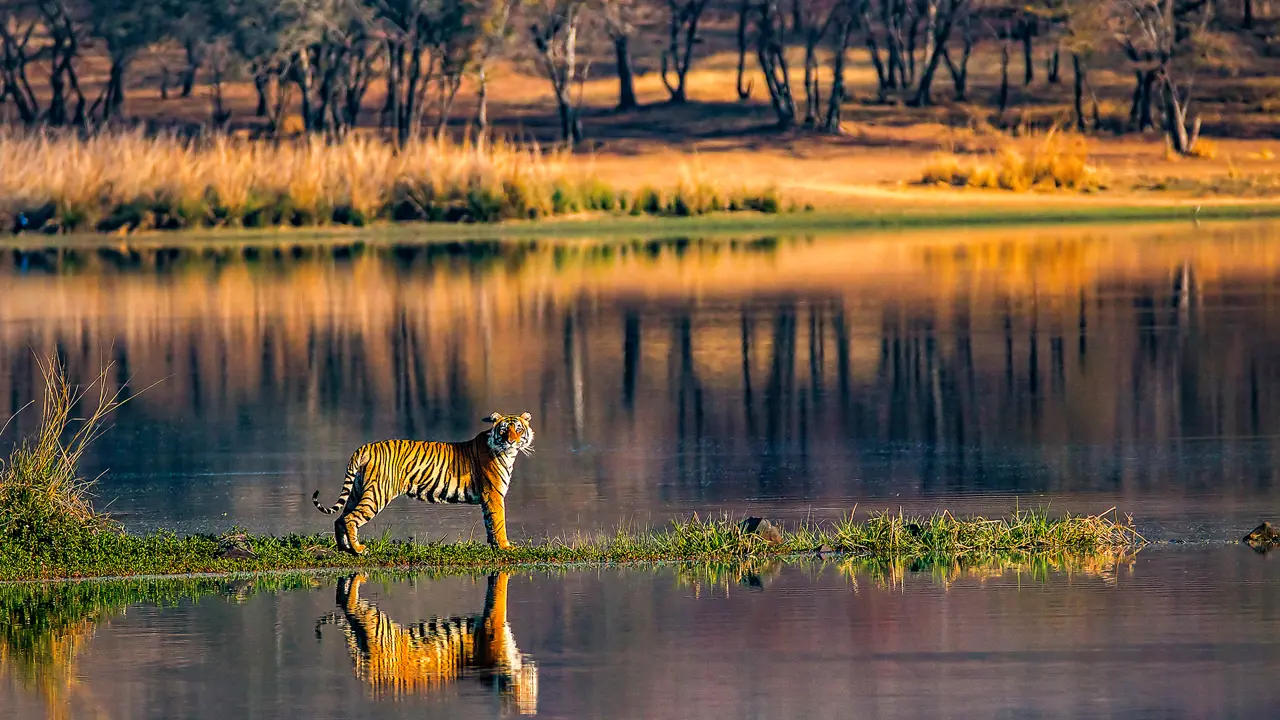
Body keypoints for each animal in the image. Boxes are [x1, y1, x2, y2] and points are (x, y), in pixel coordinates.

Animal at [312, 407, 532, 550]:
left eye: (518, 429)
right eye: (503, 430)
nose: (512, 441)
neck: (509, 454)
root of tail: (365, 447)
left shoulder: (488, 498)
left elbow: (490, 523)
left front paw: (496, 545)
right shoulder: (493, 494)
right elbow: (498, 521)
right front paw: (506, 546)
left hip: (358, 490)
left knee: (340, 518)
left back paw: (345, 548)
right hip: (377, 494)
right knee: (350, 517)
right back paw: (358, 549)